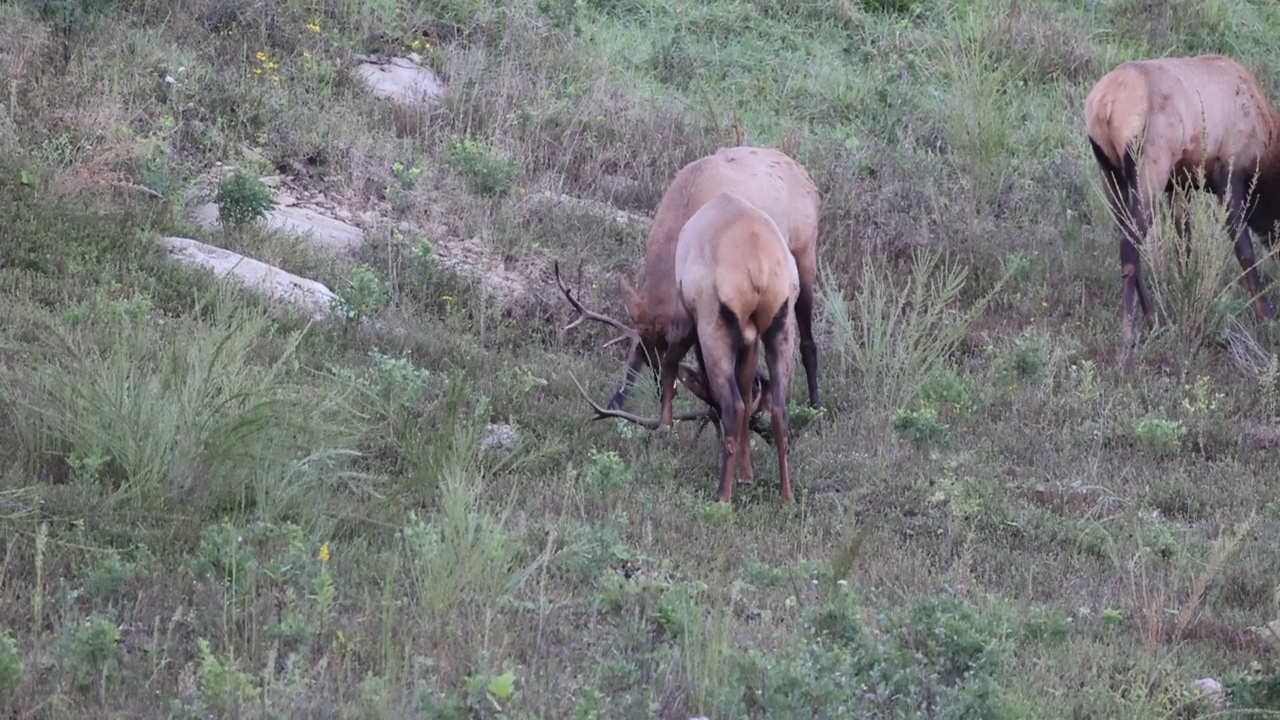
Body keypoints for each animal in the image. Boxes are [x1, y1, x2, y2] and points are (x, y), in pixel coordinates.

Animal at [1085, 53, 1280, 345]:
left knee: (1126, 234)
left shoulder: (1180, 185)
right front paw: (1265, 315)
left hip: (1110, 173)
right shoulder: (1228, 175)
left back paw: (1152, 319)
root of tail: (1104, 104)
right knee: (1130, 240)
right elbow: (1244, 250)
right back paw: (1130, 332)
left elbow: (1184, 246)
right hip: (1149, 167)